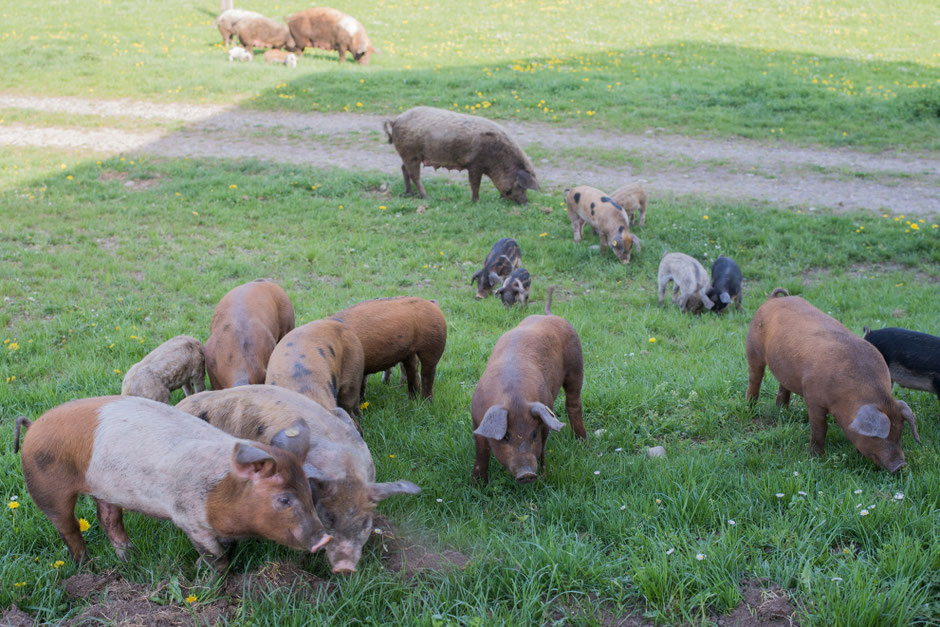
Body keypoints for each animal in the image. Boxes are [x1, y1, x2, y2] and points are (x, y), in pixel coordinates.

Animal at [13, 396, 331, 568]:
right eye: (284, 499)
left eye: (309, 492)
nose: (324, 538)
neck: (222, 492)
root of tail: (33, 425)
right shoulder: (188, 518)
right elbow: (217, 555)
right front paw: (206, 572)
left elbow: (227, 546)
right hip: (45, 486)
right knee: (68, 528)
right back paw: (88, 565)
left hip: (104, 488)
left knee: (109, 519)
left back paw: (130, 559)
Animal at [383, 106, 540, 204]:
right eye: (520, 186)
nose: (526, 203)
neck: (498, 157)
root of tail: (395, 120)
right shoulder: (475, 164)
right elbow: (474, 184)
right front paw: (475, 202)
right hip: (410, 153)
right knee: (414, 175)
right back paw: (426, 197)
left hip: (409, 155)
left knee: (404, 169)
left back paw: (410, 193)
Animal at [471, 287, 586, 484]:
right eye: (506, 436)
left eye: (533, 434)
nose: (527, 474)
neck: (514, 396)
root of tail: (549, 315)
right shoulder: (477, 420)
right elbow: (481, 452)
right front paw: (478, 485)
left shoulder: (546, 412)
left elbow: (543, 446)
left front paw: (544, 474)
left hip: (576, 365)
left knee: (574, 403)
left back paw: (581, 441)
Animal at [745, 289, 920, 472]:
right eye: (878, 437)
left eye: (899, 433)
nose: (901, 465)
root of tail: (773, 299)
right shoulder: (813, 397)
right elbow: (820, 428)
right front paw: (816, 458)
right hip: (752, 347)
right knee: (755, 377)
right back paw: (750, 406)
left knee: (783, 384)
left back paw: (782, 409)